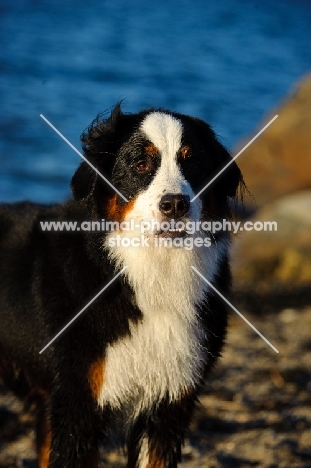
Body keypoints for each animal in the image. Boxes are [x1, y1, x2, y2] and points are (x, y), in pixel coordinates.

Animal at [0, 104, 244, 466]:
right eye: (141, 163)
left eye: (193, 162)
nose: (175, 204)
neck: (154, 275)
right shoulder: (78, 404)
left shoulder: (168, 406)